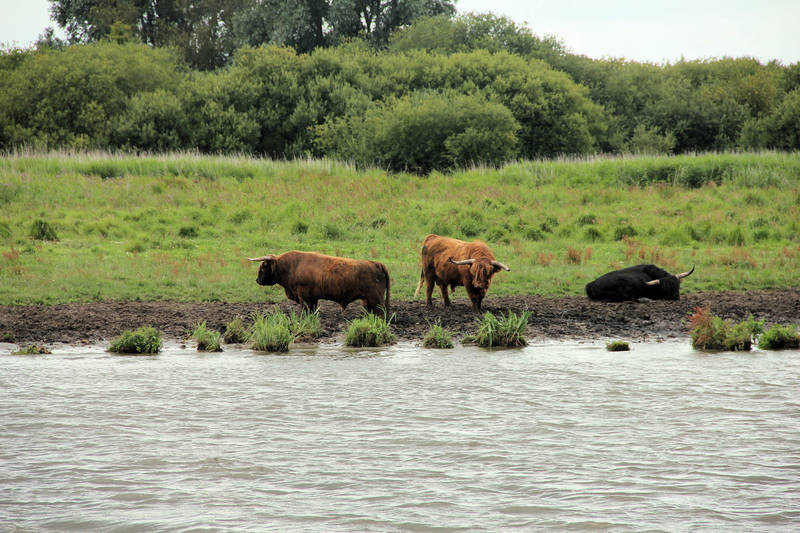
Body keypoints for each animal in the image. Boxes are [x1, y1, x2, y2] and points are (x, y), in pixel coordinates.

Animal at [247, 250, 390, 316]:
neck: (291, 267)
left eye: (262, 268)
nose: (257, 280)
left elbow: (305, 311)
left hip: (376, 299)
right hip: (367, 301)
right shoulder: (313, 298)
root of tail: (376, 263)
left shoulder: (304, 297)